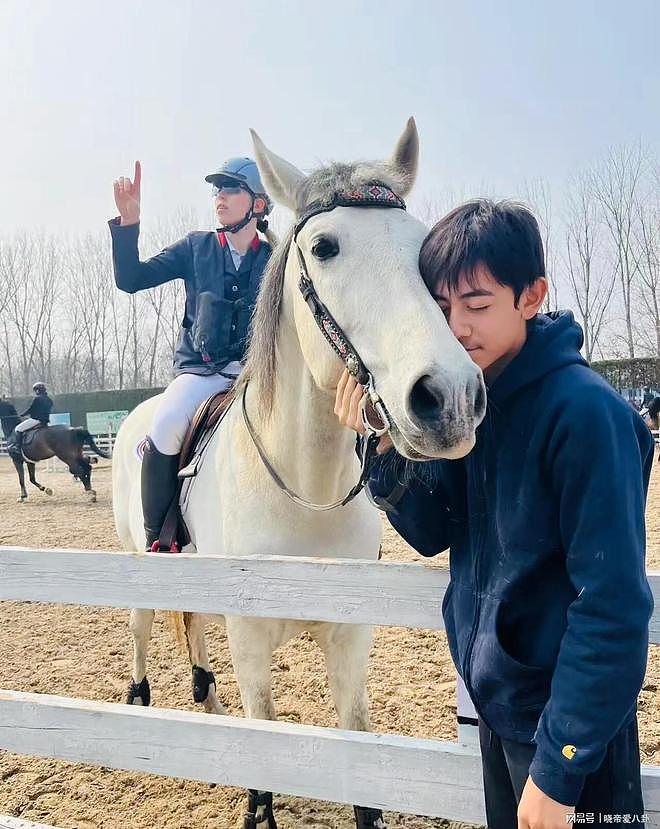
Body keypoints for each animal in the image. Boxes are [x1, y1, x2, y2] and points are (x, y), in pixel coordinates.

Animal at [112, 119, 486, 829]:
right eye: (324, 246)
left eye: (422, 247)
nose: (448, 397)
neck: (302, 488)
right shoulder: (252, 638)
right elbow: (265, 764)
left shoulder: (350, 638)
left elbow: (357, 752)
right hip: (140, 557)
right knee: (145, 624)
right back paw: (141, 697)